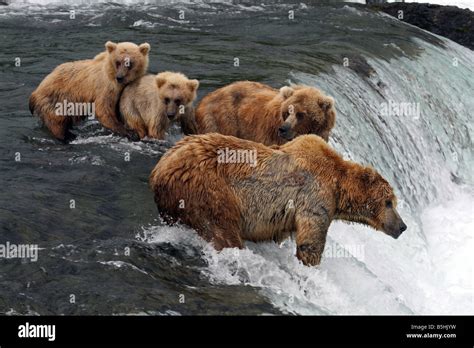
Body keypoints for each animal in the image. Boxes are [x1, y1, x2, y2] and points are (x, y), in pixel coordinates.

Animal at [150, 132, 406, 266]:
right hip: (209, 191)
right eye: (389, 202)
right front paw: (308, 263)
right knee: (222, 231)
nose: (402, 226)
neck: (338, 185)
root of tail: (161, 168)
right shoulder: (315, 197)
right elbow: (311, 240)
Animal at [194, 80, 336, 145]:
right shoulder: (270, 134)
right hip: (222, 121)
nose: (283, 129)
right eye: (287, 112)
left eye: (301, 114)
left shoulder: (320, 133)